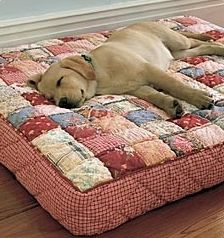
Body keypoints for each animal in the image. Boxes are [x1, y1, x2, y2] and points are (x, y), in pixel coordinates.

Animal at [27, 21, 224, 117]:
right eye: (50, 99)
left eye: (60, 81)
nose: (63, 104)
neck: (99, 74)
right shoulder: (137, 88)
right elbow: (155, 96)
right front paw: (171, 105)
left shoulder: (149, 69)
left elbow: (175, 85)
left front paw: (198, 98)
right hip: (178, 53)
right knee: (202, 47)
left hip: (177, 41)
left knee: (194, 39)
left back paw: (215, 43)